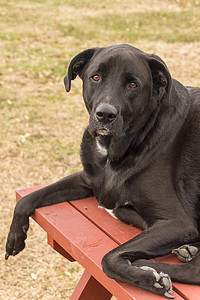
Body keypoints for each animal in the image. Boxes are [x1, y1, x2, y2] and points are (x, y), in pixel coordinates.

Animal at [5, 44, 200, 298]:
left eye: (133, 84)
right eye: (95, 77)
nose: (105, 114)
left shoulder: (178, 222)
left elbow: (108, 258)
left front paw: (148, 277)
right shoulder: (88, 179)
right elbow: (27, 199)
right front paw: (15, 237)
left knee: (193, 271)